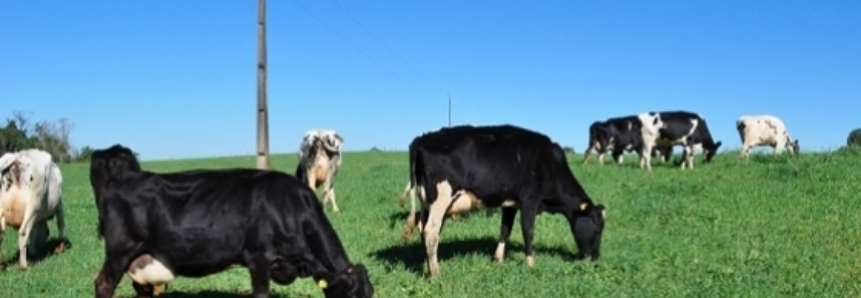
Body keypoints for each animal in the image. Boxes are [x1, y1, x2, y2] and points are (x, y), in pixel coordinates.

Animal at [90, 143, 372, 296]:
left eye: (370, 293)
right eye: (353, 295)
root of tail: (123, 177)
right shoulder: (258, 258)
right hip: (120, 250)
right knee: (103, 284)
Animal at [404, 123, 604, 278]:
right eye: (598, 228)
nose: (596, 257)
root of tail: (423, 138)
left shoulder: (511, 203)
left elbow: (505, 230)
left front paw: (498, 259)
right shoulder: (530, 200)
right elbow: (528, 232)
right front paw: (531, 263)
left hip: (428, 203)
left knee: (424, 229)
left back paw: (428, 266)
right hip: (441, 199)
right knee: (431, 232)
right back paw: (436, 274)